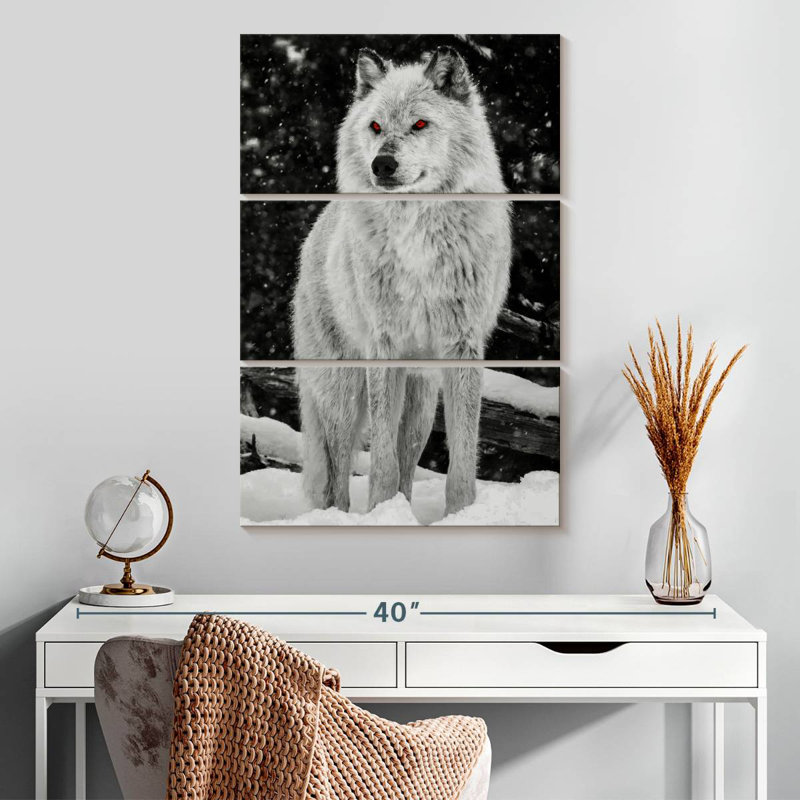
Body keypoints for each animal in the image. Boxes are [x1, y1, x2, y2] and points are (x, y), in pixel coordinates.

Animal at [292, 47, 511, 517]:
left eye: (420, 125)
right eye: (376, 127)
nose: (383, 164)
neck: (418, 234)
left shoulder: (461, 346)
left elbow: (461, 459)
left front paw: (460, 515)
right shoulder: (384, 344)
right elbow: (381, 462)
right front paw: (380, 510)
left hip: (421, 399)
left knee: (407, 452)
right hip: (343, 392)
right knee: (338, 472)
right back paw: (342, 517)